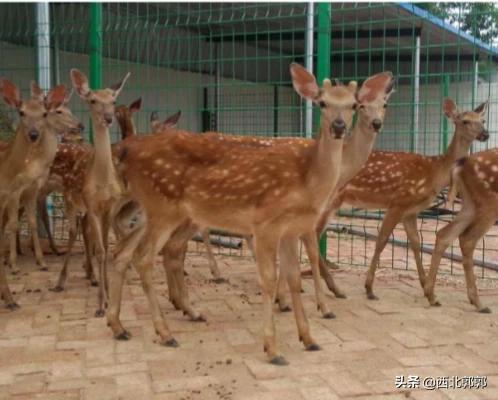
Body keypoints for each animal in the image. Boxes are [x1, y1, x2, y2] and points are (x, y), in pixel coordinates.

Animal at [108, 63, 358, 366]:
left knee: (123, 251)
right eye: (322, 103)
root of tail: (126, 150)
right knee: (143, 257)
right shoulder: (265, 223)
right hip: (162, 206)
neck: (306, 180)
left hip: (155, 210)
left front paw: (309, 339)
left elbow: (294, 278)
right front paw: (272, 349)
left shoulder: (290, 229)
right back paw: (165, 333)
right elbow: (269, 279)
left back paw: (119, 326)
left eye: (354, 105)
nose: (338, 126)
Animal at [328, 98, 488, 302]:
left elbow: (416, 242)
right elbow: (382, 241)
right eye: (465, 121)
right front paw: (369, 288)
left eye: (482, 120)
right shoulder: (398, 202)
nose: (485, 134)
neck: (436, 171)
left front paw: (425, 285)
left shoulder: (410, 211)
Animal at [424, 149, 498, 312]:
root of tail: (461, 164)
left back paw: (432, 296)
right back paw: (479, 304)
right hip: (489, 201)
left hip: (470, 204)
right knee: (467, 238)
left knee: (444, 234)